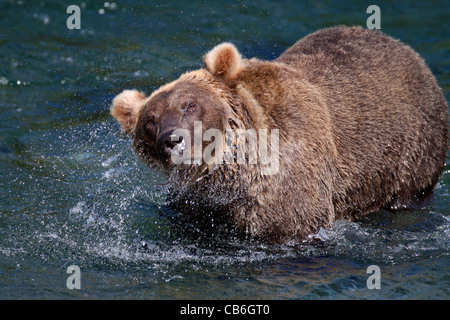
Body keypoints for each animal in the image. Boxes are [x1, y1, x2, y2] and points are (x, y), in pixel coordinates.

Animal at [110, 26, 448, 244]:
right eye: (150, 121)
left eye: (190, 105)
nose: (172, 140)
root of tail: (405, 49)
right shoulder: (195, 206)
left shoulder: (288, 188)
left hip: (412, 149)